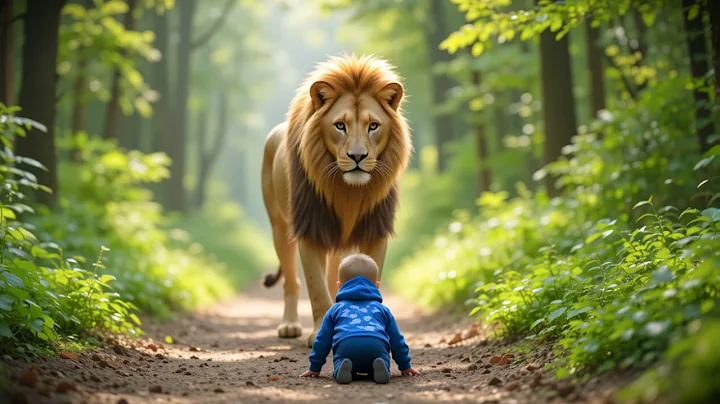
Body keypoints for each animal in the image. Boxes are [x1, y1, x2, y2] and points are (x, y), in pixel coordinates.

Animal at [260, 54, 412, 347]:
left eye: (373, 126)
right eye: (340, 125)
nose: (358, 156)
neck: (347, 191)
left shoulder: (375, 230)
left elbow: (367, 275)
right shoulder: (310, 229)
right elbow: (316, 288)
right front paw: (319, 330)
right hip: (279, 227)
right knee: (292, 282)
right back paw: (289, 325)